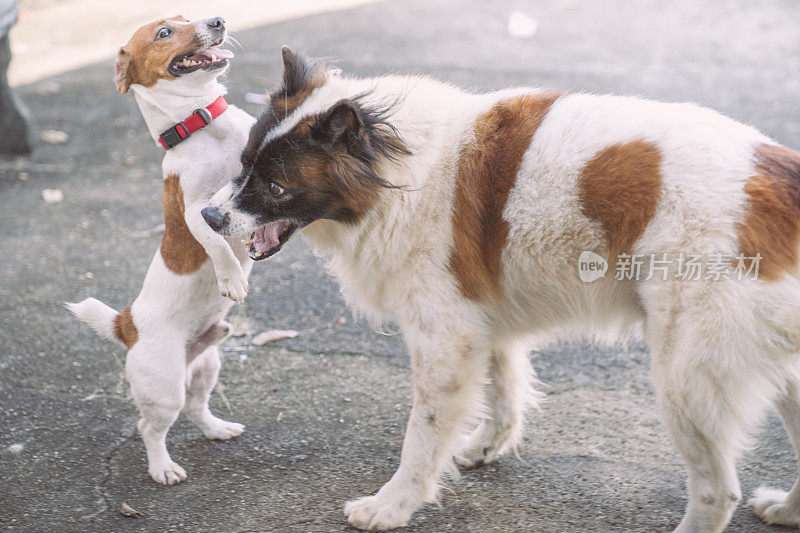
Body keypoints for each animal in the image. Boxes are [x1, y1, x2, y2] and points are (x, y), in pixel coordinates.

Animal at [69, 15, 256, 482]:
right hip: (164, 385)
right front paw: (232, 278)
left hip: (206, 366)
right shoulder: (196, 210)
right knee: (149, 427)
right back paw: (163, 468)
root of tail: (126, 323)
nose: (217, 20)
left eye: (187, 17)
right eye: (164, 33)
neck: (205, 124)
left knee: (196, 406)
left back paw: (217, 429)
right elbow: (217, 245)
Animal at [203, 47, 800, 528]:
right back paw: (787, 510)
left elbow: (421, 436)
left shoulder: (444, 340)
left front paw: (393, 505)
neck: (397, 166)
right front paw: (488, 447)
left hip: (686, 380)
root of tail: (778, 179)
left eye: (275, 187)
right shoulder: (482, 320)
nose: (208, 217)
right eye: (243, 164)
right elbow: (503, 391)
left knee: (717, 491)